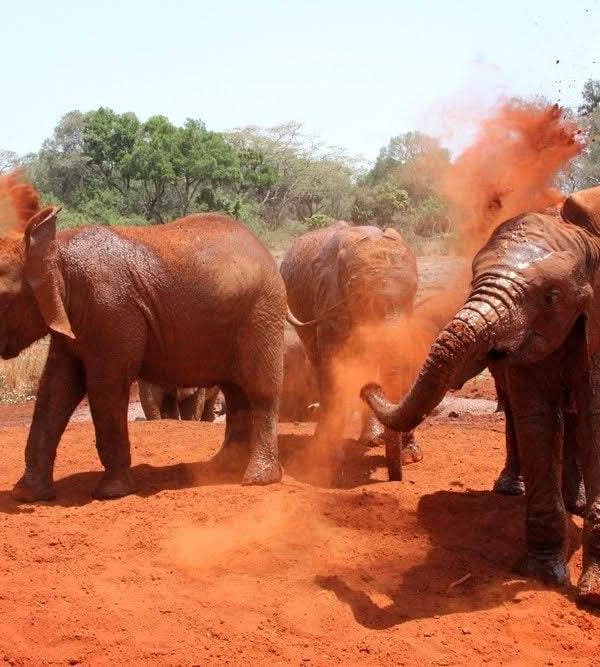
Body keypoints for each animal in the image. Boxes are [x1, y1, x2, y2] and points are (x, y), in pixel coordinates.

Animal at [0, 172, 286, 501]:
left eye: (2, 298)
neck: (56, 246)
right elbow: (56, 388)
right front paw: (26, 495)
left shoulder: (110, 308)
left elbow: (106, 384)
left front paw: (111, 493)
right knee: (236, 392)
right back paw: (223, 468)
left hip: (261, 314)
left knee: (260, 391)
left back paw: (257, 479)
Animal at [281, 220, 421, 479]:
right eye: (360, 296)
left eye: (414, 291)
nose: (394, 477)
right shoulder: (329, 300)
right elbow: (334, 361)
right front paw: (330, 456)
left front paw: (411, 456)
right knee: (318, 362)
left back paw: (371, 441)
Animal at [361, 185, 600, 606]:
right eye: (473, 280)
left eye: (552, 296)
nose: (368, 386)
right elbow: (535, 416)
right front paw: (540, 576)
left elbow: (595, 416)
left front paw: (591, 594)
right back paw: (516, 491)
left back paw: (575, 503)